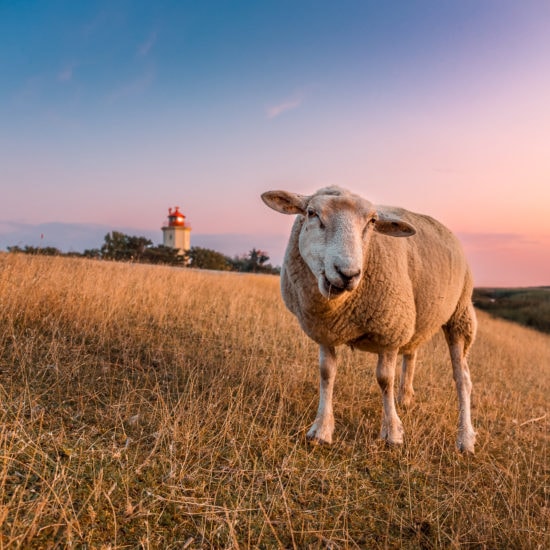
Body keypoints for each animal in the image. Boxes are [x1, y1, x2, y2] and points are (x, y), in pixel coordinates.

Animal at [264, 188, 478, 454]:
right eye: (311, 213)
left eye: (373, 222)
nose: (348, 273)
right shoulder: (325, 331)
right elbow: (326, 374)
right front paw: (321, 429)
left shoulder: (390, 331)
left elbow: (385, 380)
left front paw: (392, 433)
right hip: (417, 318)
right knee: (412, 353)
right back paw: (405, 398)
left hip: (460, 315)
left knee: (463, 379)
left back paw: (465, 438)